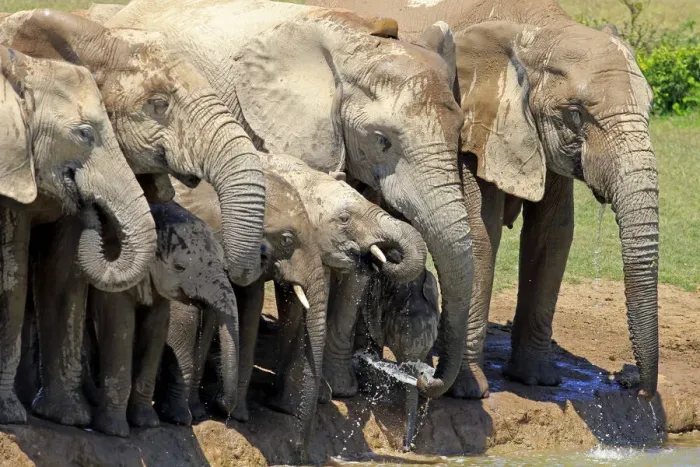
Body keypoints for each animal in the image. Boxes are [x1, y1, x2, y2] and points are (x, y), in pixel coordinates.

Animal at [0, 45, 156, 425]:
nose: (91, 208)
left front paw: (67, 418)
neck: (19, 67)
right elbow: (11, 273)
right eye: (84, 134)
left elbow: (56, 275)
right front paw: (11, 417)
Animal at [85, 201, 239, 438]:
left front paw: (147, 423)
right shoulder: (112, 269)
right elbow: (119, 323)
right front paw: (114, 431)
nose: (221, 407)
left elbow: (156, 328)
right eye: (179, 267)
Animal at [107, 0, 476, 400]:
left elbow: (355, 266)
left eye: (460, 132)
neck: (358, 44)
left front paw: (341, 388)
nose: (425, 377)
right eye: (382, 140)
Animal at [308, 0, 660, 399]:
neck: (539, 30)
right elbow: (480, 234)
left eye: (650, 108)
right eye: (575, 114)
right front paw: (468, 391)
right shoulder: (471, 125)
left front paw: (537, 379)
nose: (632, 386)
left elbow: (553, 233)